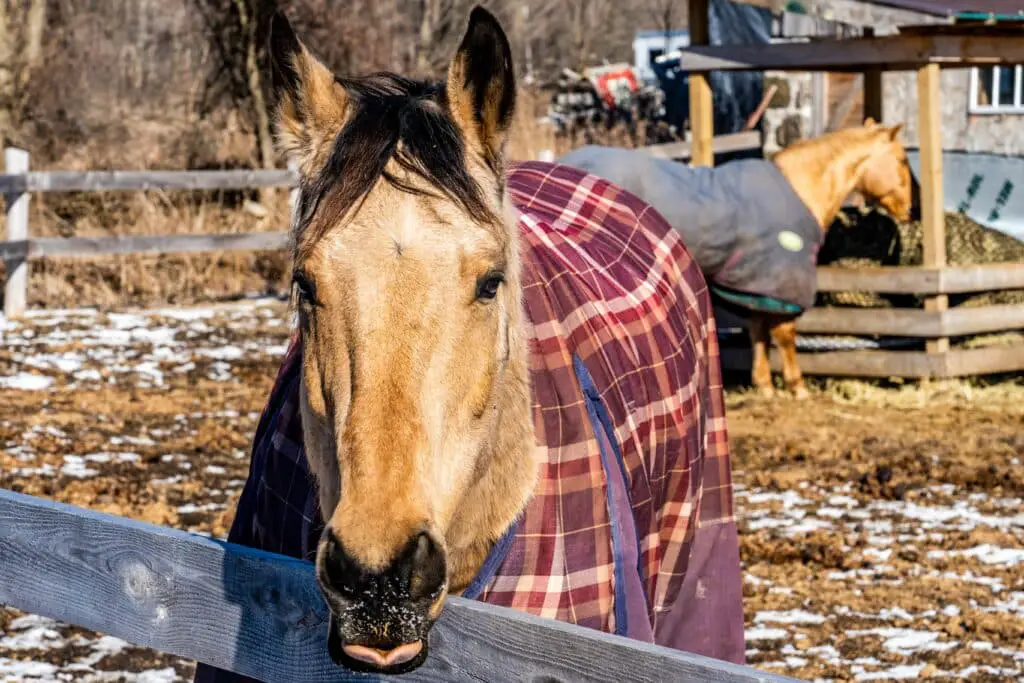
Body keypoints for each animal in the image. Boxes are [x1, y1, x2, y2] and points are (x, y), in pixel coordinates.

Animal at [561, 120, 913, 397]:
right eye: (901, 158)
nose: (908, 210)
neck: (801, 187)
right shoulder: (782, 278)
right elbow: (784, 334)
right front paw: (797, 386)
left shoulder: (758, 284)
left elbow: (758, 330)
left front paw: (764, 385)